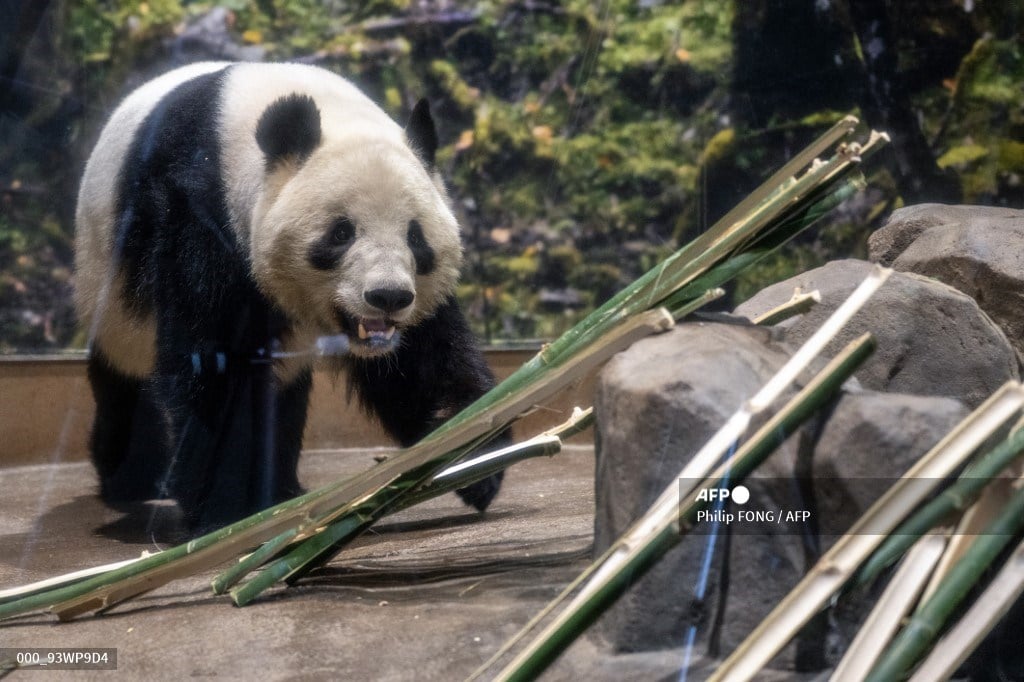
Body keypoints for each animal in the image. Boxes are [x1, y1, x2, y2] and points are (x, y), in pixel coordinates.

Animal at [74, 61, 506, 534]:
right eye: (341, 233)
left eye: (415, 236)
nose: (388, 296)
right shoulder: (197, 210)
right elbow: (213, 362)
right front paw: (224, 511)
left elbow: (424, 359)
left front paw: (473, 455)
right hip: (108, 281)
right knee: (125, 375)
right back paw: (133, 478)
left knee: (283, 390)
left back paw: (280, 484)